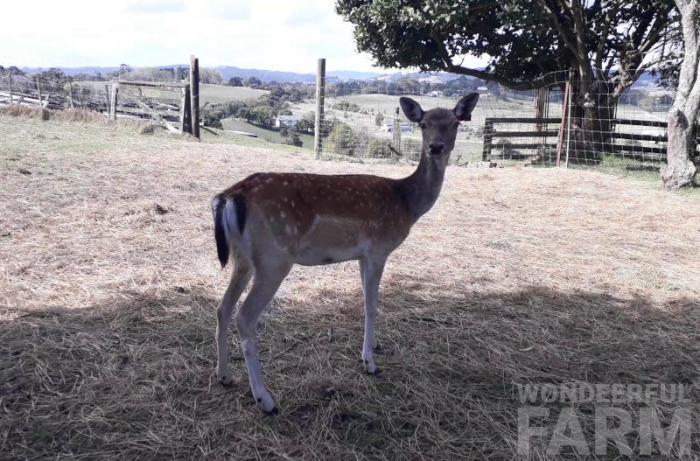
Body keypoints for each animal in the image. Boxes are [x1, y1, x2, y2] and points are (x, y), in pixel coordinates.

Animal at [211, 93, 479, 413]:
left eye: (454, 123)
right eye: (423, 124)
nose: (435, 147)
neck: (406, 204)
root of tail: (229, 196)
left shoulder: (362, 255)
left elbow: (367, 301)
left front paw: (374, 346)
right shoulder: (378, 248)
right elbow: (371, 304)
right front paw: (369, 362)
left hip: (242, 258)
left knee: (223, 307)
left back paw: (224, 375)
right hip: (274, 258)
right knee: (244, 316)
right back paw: (265, 398)